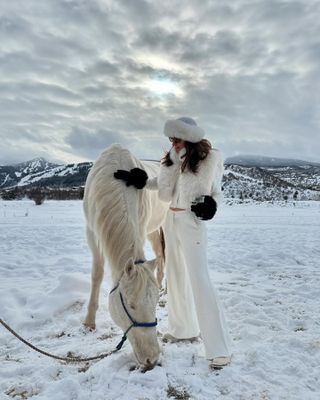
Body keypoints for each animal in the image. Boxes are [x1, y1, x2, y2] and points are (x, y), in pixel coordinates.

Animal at [82, 143, 169, 368]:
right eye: (130, 305)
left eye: (154, 303)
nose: (151, 359)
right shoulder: (91, 232)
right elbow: (97, 274)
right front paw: (89, 322)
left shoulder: (140, 226)